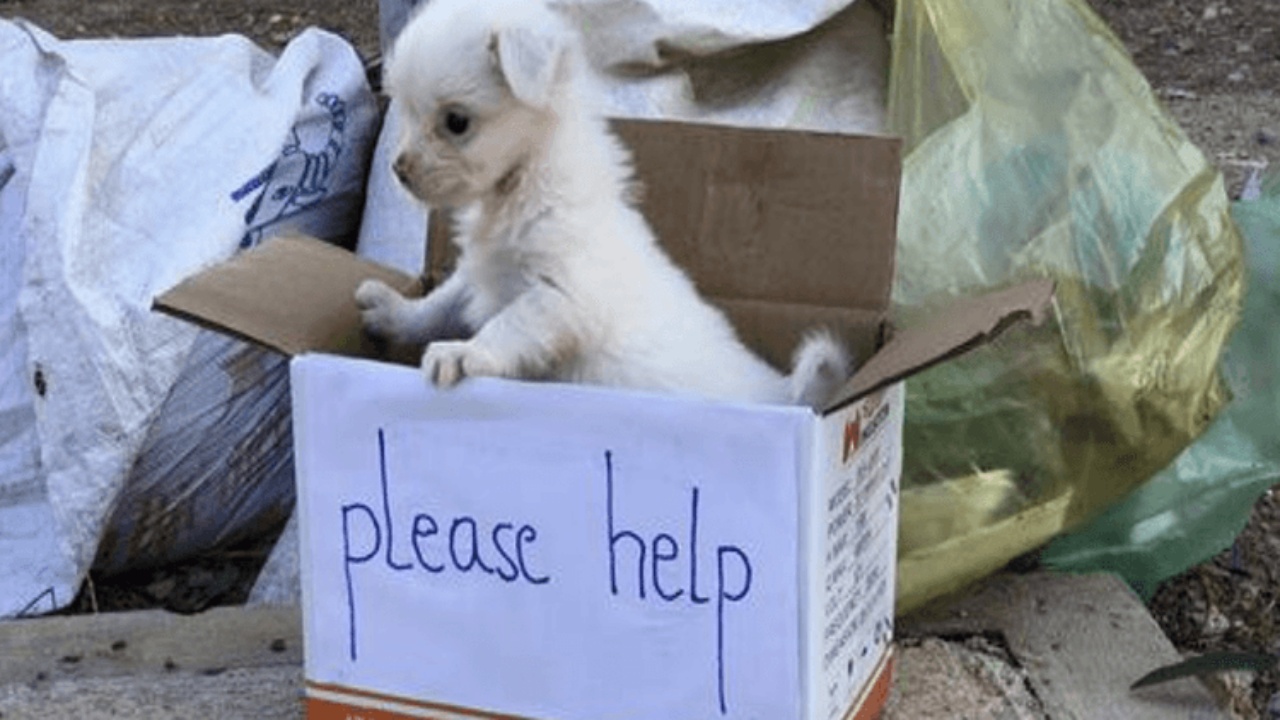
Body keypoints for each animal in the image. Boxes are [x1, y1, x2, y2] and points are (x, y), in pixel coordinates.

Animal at [353, 0, 849, 407]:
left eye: (456, 122)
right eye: (405, 110)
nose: (398, 170)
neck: (524, 180)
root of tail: (785, 395)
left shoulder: (560, 295)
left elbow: (507, 325)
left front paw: (463, 351)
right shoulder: (479, 274)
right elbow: (440, 303)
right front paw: (395, 312)